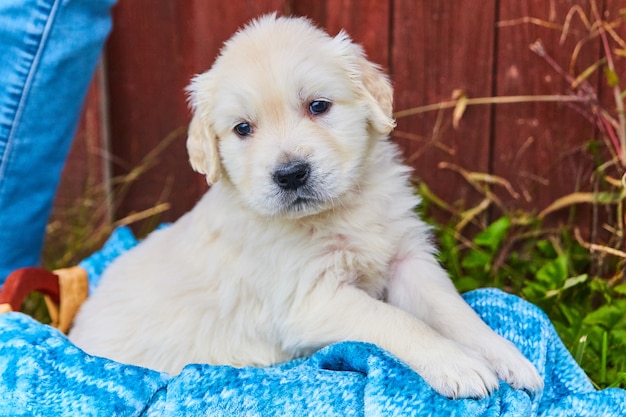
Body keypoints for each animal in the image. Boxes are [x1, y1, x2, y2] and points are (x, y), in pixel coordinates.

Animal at [68, 13, 540, 396]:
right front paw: (457, 363)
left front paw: (508, 357)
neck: (338, 211)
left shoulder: (408, 260)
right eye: (243, 129)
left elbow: (454, 310)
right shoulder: (312, 300)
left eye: (318, 106)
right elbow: (398, 321)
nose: (291, 174)